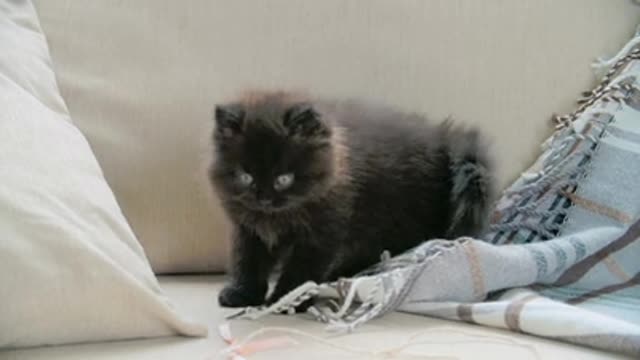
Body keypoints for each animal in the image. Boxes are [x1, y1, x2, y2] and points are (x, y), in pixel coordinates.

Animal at [210, 90, 496, 310]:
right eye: (245, 176)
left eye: (284, 179)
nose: (264, 198)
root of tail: (445, 141)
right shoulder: (248, 230)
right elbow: (247, 262)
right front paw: (241, 294)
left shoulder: (322, 232)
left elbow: (301, 269)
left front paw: (286, 299)